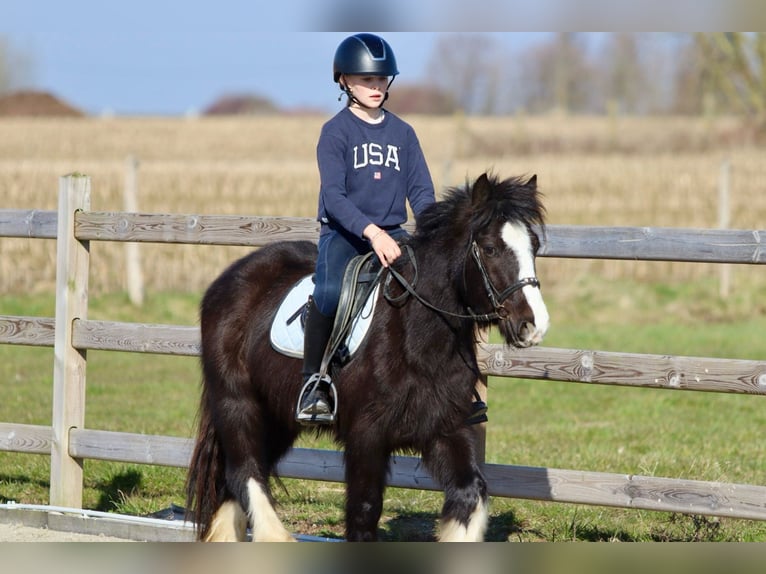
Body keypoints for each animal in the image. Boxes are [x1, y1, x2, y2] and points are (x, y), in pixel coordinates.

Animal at [185, 173, 544, 544]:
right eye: (490, 249)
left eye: (534, 246)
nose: (533, 326)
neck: (417, 336)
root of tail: (228, 280)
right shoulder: (366, 435)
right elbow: (364, 510)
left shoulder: (445, 426)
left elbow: (469, 495)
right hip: (237, 402)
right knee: (245, 471)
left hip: (277, 415)